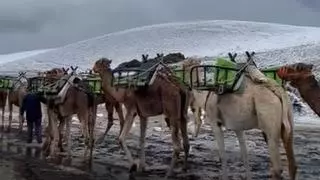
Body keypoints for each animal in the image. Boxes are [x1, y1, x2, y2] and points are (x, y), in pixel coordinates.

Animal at [201, 51, 296, 179]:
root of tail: (278, 92)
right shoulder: (238, 127)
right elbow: (245, 155)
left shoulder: (214, 122)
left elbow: (223, 156)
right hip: (288, 121)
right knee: (292, 164)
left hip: (270, 124)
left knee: (277, 168)